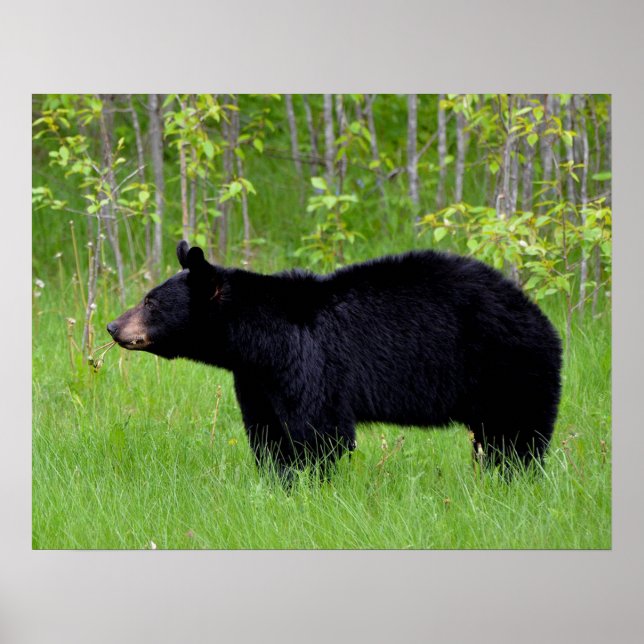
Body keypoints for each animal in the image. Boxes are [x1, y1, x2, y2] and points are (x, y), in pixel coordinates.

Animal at [107, 241, 562, 477]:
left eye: (150, 301)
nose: (113, 327)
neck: (257, 339)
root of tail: (541, 318)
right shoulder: (255, 377)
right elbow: (267, 431)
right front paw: (277, 482)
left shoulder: (310, 362)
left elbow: (318, 431)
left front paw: (309, 484)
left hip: (509, 367)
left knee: (516, 436)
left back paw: (512, 478)